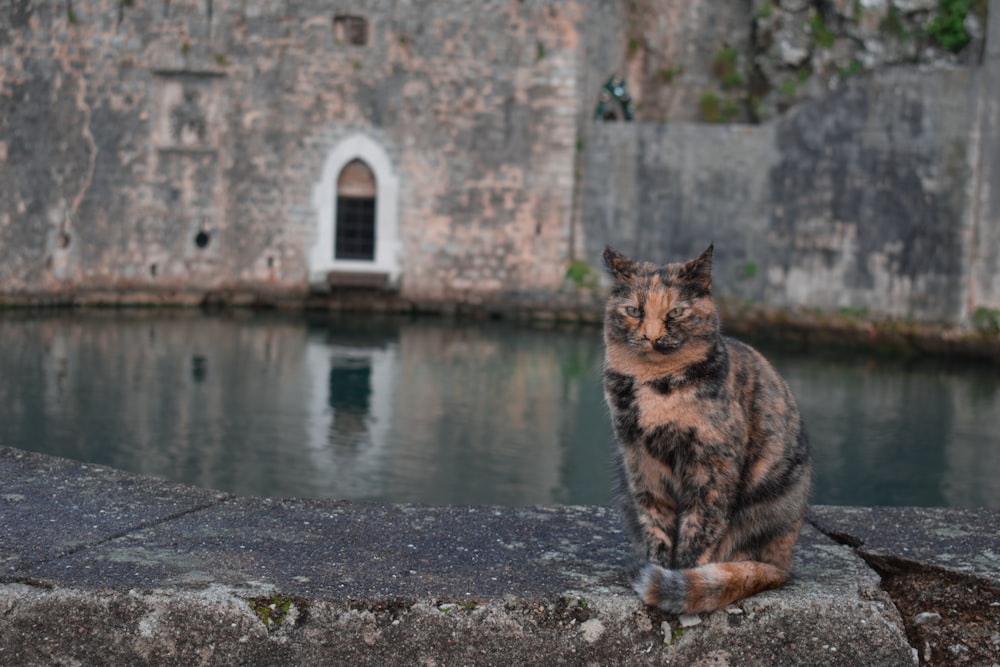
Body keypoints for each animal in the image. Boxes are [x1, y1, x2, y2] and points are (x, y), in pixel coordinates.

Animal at [600, 245, 812, 616]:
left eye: (676, 312)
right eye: (634, 310)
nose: (651, 336)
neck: (655, 385)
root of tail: (782, 565)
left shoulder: (711, 465)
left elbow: (699, 529)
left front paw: (680, 577)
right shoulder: (640, 462)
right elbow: (656, 522)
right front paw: (658, 567)